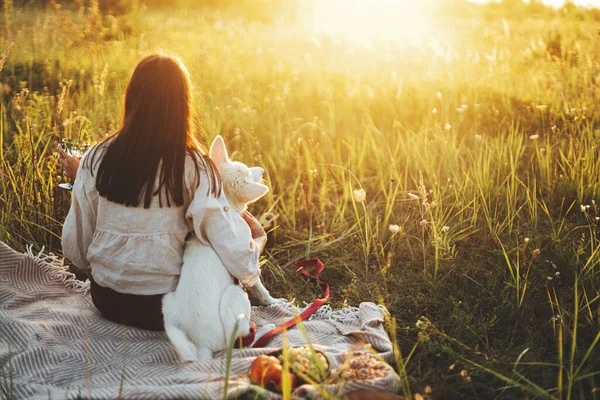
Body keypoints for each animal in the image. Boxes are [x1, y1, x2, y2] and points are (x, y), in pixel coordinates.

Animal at [161, 135, 280, 362]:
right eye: (249, 172)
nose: (261, 170)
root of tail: (202, 346)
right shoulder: (243, 259)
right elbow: (257, 284)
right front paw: (271, 300)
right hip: (236, 297)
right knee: (240, 341)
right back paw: (266, 329)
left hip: (167, 304)